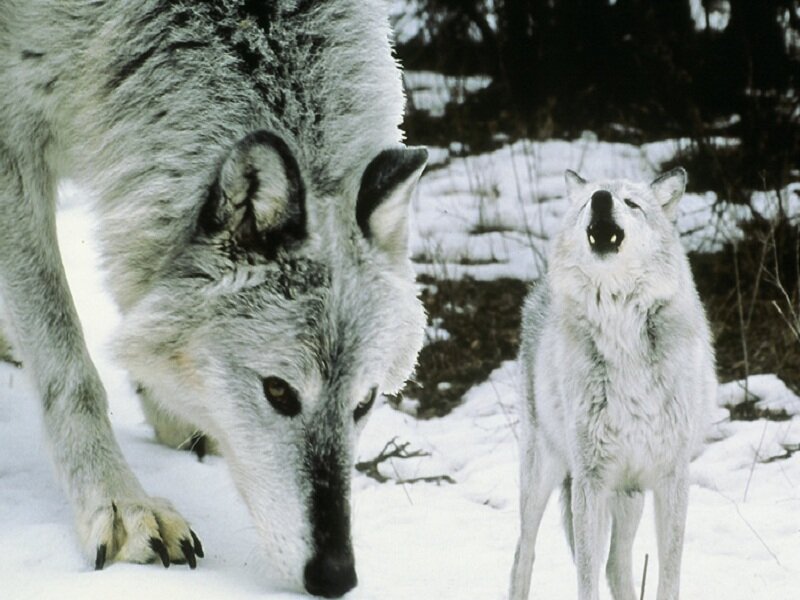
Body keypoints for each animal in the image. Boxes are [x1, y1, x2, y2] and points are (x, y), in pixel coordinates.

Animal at [0, 1, 427, 597]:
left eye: (364, 403)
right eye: (278, 391)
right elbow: (70, 370)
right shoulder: (13, 139)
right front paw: (120, 505)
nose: (336, 574)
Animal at [509, 169, 716, 600]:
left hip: (629, 495)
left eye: (631, 203)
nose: (601, 198)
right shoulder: (590, 481)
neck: (621, 329)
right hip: (544, 473)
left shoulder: (672, 478)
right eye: (589, 200)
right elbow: (586, 577)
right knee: (524, 553)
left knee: (616, 564)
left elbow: (668, 574)